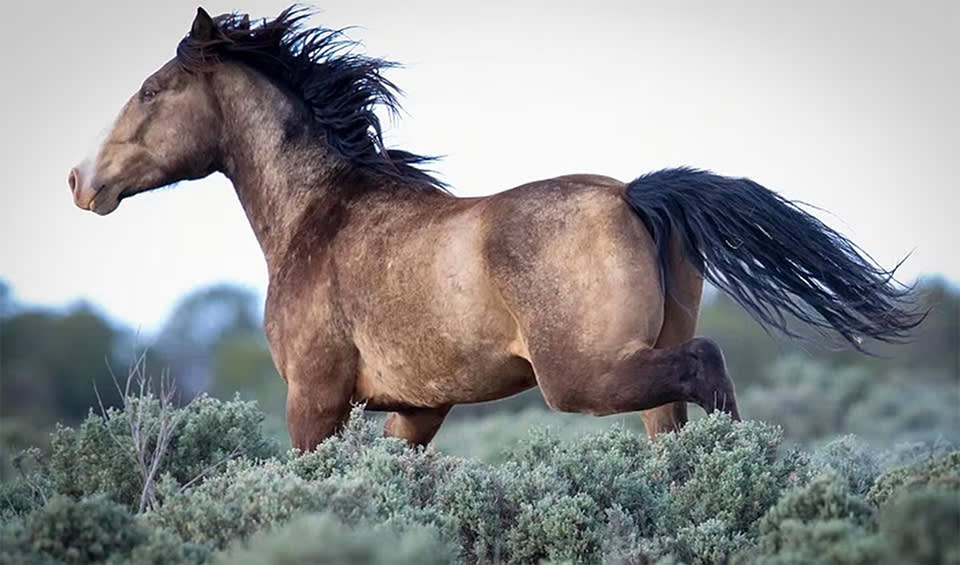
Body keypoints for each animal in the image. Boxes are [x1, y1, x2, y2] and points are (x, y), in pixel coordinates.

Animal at [68, 7, 922, 450]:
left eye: (153, 90)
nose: (82, 182)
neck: (319, 213)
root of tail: (635, 196)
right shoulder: (414, 410)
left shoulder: (315, 398)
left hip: (582, 376)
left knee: (706, 366)